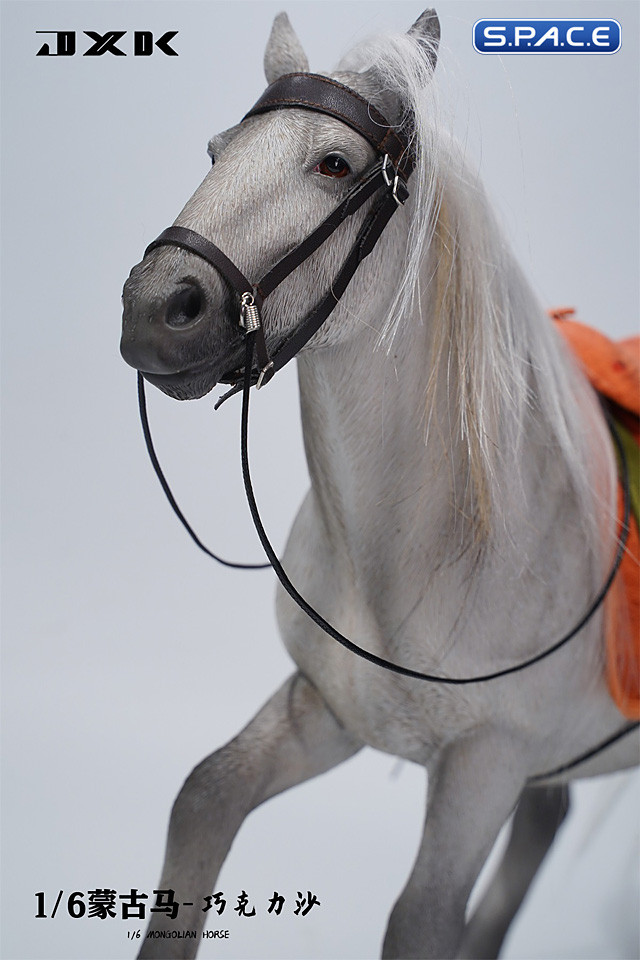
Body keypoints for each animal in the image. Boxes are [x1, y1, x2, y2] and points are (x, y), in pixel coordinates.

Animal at [120, 9, 639, 958]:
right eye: (215, 151)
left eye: (334, 164)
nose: (154, 309)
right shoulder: (326, 710)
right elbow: (205, 795)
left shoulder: (486, 763)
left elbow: (422, 920)